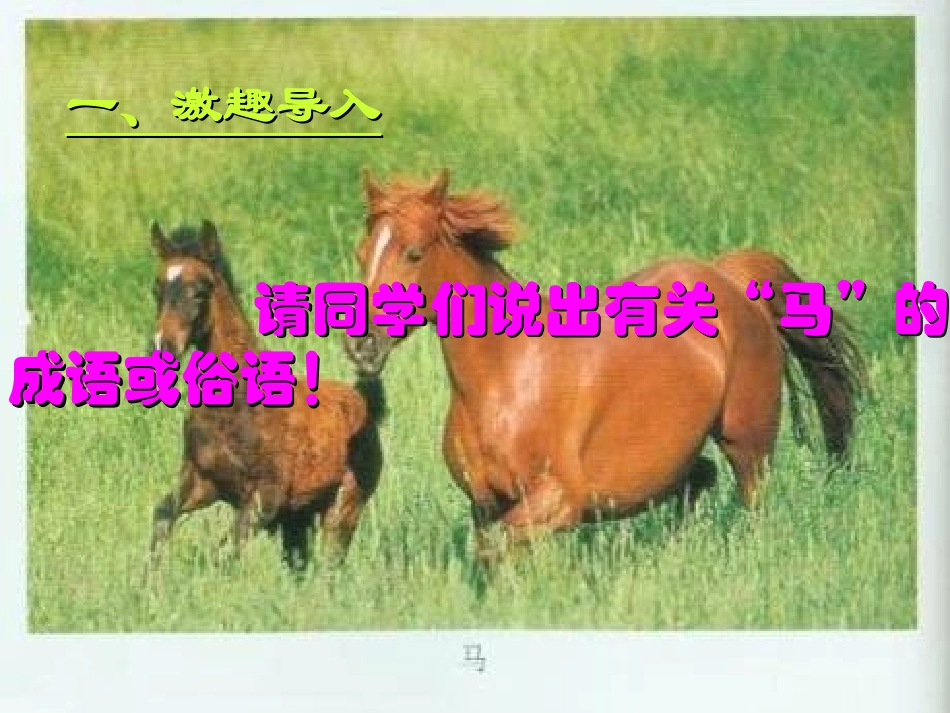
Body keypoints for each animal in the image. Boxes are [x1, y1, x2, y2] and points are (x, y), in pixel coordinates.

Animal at [148, 219, 384, 569]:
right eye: (157, 290)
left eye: (199, 292)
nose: (162, 347)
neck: (234, 406)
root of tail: (365, 406)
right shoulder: (201, 483)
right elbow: (163, 516)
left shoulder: (263, 499)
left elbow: (225, 550)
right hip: (297, 519)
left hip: (342, 509)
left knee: (330, 565)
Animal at [344, 170, 866, 563]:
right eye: (362, 254)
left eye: (413, 253)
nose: (361, 344)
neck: (506, 379)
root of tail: (732, 278)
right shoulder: (485, 503)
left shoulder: (558, 499)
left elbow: (507, 547)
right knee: (698, 479)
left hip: (748, 442)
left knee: (750, 498)